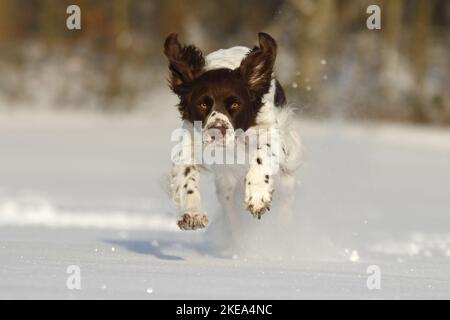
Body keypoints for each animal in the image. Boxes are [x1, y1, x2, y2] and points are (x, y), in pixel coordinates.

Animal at [163, 31, 300, 232]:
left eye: (235, 104)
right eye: (202, 104)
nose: (216, 131)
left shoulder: (271, 133)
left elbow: (262, 154)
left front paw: (257, 195)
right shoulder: (190, 141)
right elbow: (187, 174)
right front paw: (192, 213)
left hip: (286, 184)